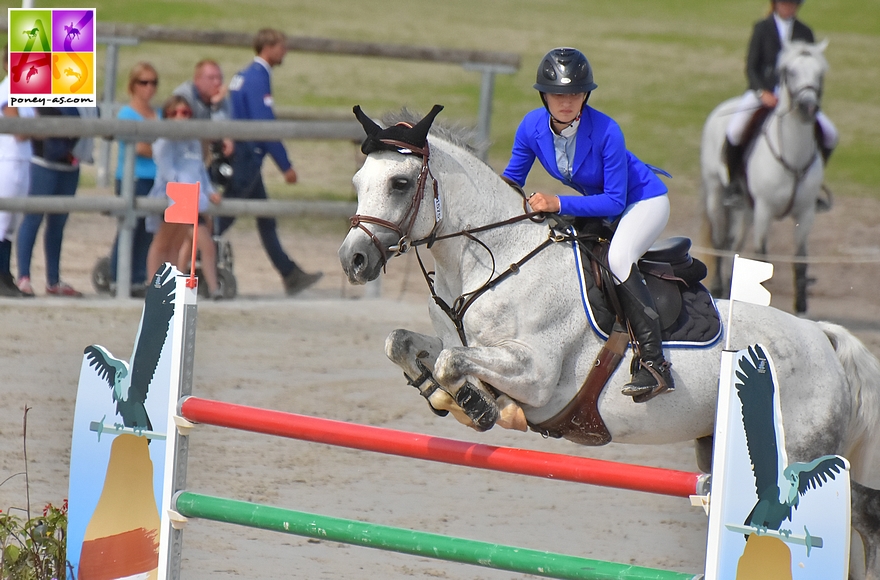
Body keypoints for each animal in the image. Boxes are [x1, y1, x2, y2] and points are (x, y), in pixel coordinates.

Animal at [338, 107, 880, 576]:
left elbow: (454, 363)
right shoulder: (460, 342)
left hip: (802, 453)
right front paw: (440, 394)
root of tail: (824, 338)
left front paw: (481, 405)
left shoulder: (537, 377)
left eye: (400, 183)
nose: (353, 260)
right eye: (359, 183)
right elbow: (405, 344)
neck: (490, 264)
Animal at [700, 39, 824, 312]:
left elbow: (800, 258)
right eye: (789, 72)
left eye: (820, 73)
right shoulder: (765, 210)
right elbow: (762, 256)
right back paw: (717, 287)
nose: (808, 107)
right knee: (719, 240)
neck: (793, 155)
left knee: (733, 243)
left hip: (746, 208)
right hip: (715, 192)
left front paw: (801, 305)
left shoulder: (806, 213)